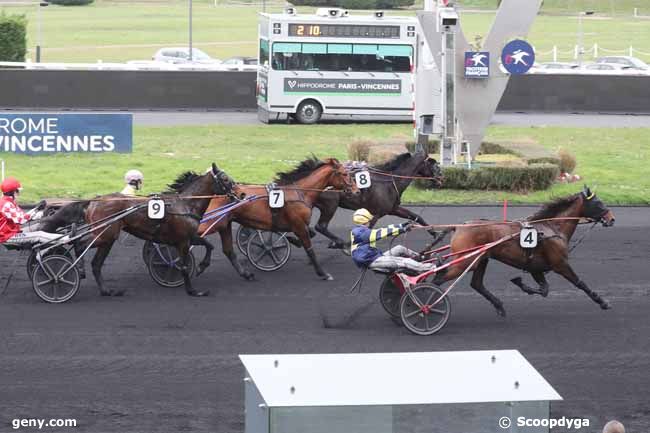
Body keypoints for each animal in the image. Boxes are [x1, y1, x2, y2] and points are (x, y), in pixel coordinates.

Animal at [40, 164, 234, 296]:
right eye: (225, 179)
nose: (238, 192)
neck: (185, 205)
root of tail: (94, 201)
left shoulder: (187, 237)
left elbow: (209, 245)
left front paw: (201, 267)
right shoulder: (183, 241)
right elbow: (185, 266)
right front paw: (193, 290)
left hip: (106, 237)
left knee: (94, 262)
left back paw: (105, 289)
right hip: (105, 235)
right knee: (81, 245)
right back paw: (79, 270)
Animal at [199, 155, 356, 280]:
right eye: (344, 174)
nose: (355, 190)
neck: (300, 192)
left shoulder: (297, 224)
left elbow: (309, 234)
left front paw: (292, 240)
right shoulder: (299, 225)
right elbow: (310, 249)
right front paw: (323, 273)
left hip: (224, 224)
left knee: (228, 251)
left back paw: (245, 274)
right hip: (211, 222)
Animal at [312, 150, 442, 248]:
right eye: (434, 164)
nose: (441, 177)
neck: (391, 182)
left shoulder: (392, 209)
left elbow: (416, 216)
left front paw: (436, 234)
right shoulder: (377, 212)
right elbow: (368, 229)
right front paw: (349, 244)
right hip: (330, 205)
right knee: (321, 226)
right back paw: (337, 242)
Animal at [432, 187, 616, 316]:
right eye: (598, 203)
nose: (611, 219)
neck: (551, 228)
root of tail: (459, 226)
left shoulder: (535, 267)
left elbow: (544, 290)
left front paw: (520, 283)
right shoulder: (560, 264)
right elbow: (580, 283)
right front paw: (603, 302)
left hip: (481, 259)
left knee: (476, 284)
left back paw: (499, 306)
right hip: (465, 261)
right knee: (439, 278)